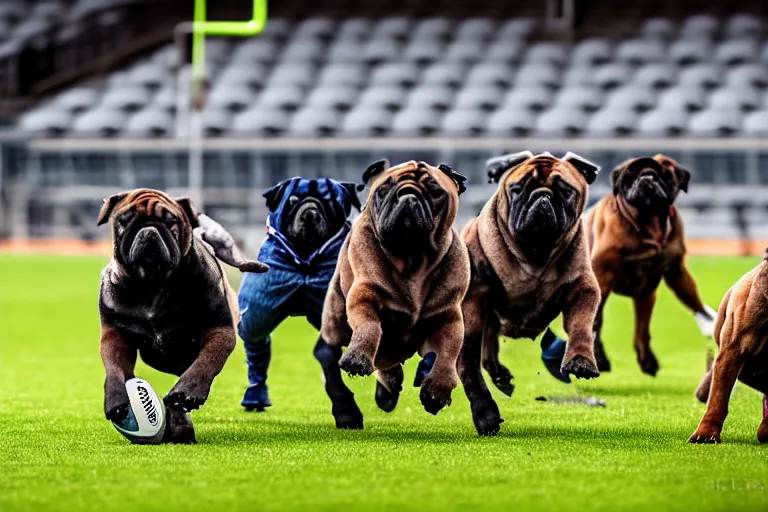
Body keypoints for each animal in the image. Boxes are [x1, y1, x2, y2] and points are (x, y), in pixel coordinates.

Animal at [96, 189, 268, 444]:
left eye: (171, 221)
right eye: (124, 220)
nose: (148, 229)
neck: (153, 285)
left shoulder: (220, 329)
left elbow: (207, 360)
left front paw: (187, 393)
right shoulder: (115, 335)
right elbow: (115, 367)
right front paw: (117, 399)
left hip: (222, 240)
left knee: (236, 258)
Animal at [234, 178, 360, 410]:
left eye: (330, 201)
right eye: (292, 200)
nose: (310, 208)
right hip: (259, 309)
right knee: (256, 336)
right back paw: (255, 395)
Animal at [316, 159, 472, 428]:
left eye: (435, 191)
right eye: (384, 189)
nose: (408, 194)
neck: (412, 259)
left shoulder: (448, 316)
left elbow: (447, 355)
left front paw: (437, 392)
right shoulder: (364, 296)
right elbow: (370, 327)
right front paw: (357, 358)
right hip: (334, 328)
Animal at [588, 153, 712, 376]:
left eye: (666, 174)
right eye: (631, 174)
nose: (647, 177)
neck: (648, 224)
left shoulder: (666, 278)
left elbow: (643, 328)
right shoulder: (602, 276)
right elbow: (595, 322)